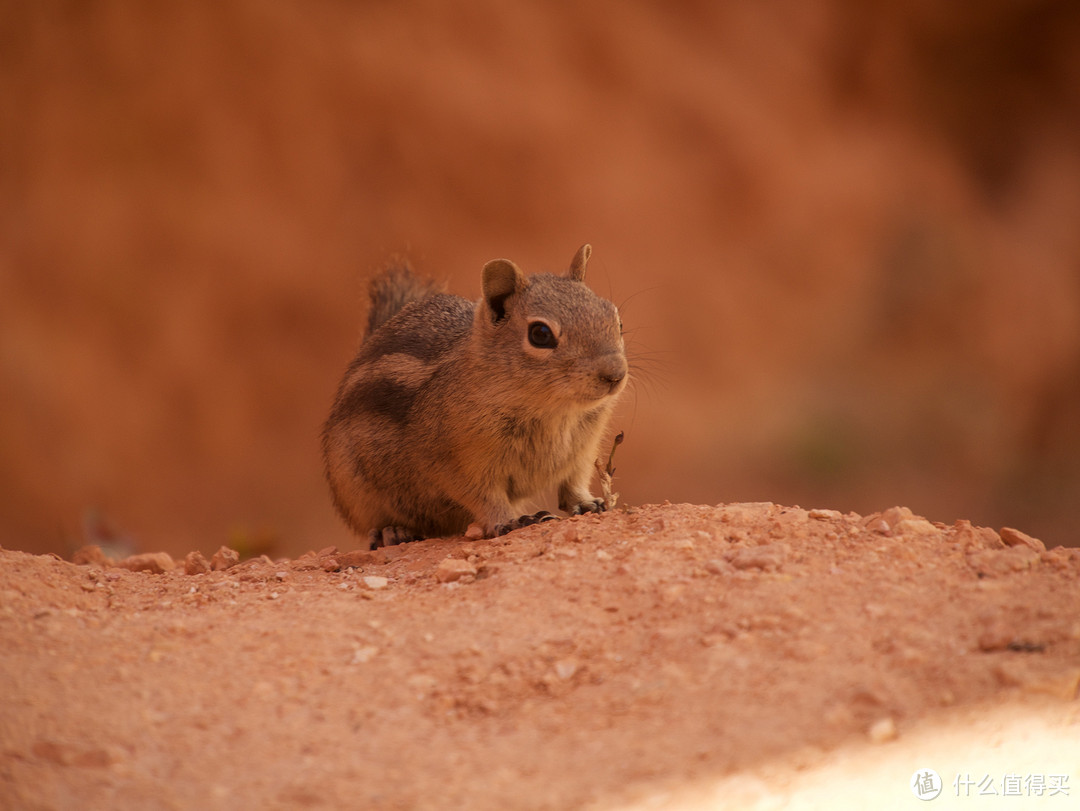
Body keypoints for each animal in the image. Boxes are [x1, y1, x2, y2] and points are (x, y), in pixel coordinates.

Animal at [317, 244, 626, 548]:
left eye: (616, 320)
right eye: (540, 334)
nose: (615, 374)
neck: (555, 410)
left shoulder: (583, 449)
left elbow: (574, 482)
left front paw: (589, 503)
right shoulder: (459, 462)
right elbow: (485, 497)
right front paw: (511, 520)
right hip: (357, 491)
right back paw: (391, 532)